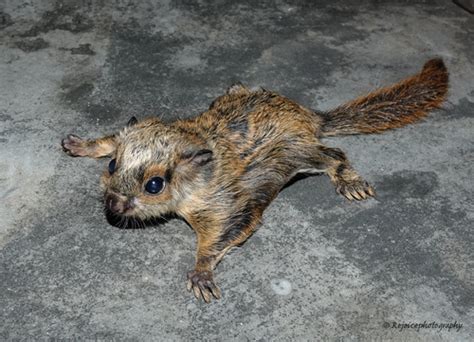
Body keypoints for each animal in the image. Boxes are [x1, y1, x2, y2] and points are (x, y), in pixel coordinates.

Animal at [62, 58, 448, 302]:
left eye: (154, 185)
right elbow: (112, 137)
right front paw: (82, 144)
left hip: (296, 154)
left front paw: (202, 272)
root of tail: (310, 116)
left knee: (334, 154)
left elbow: (222, 236)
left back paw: (348, 180)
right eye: (112, 166)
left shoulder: (225, 203)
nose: (112, 203)